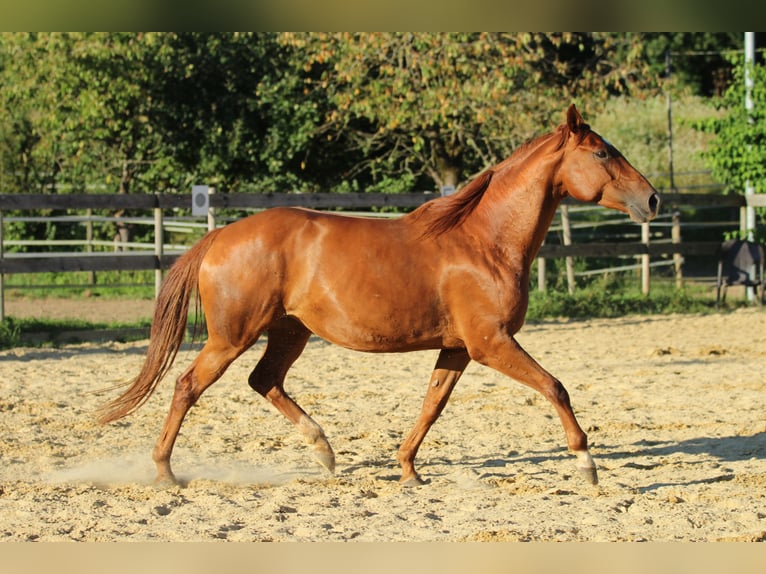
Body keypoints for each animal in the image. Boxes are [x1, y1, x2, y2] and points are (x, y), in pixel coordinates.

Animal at [97, 106, 660, 488]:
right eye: (602, 152)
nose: (653, 199)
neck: (484, 241)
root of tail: (219, 236)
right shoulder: (491, 343)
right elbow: (556, 387)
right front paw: (586, 462)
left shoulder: (458, 348)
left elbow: (432, 404)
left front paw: (408, 469)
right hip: (232, 336)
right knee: (187, 385)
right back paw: (165, 471)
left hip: (289, 331)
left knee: (264, 381)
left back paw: (324, 452)